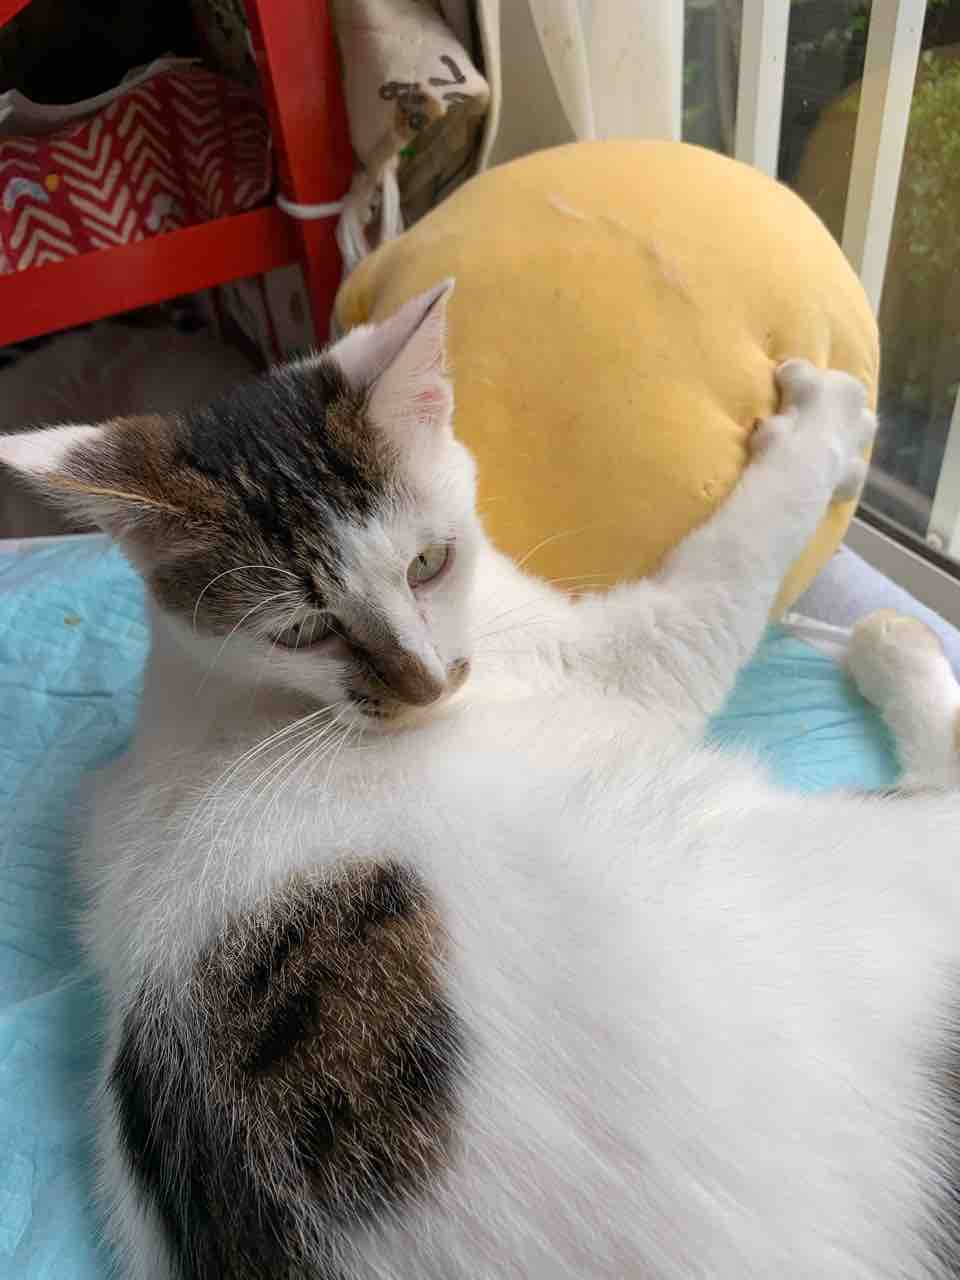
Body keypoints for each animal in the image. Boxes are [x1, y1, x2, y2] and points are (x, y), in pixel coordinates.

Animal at [2, 280, 960, 1280]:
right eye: (301, 631)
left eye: (428, 562)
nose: (426, 685)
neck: (234, 692)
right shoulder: (624, 662)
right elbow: (740, 550)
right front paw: (826, 420)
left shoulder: (98, 809)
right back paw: (896, 646)